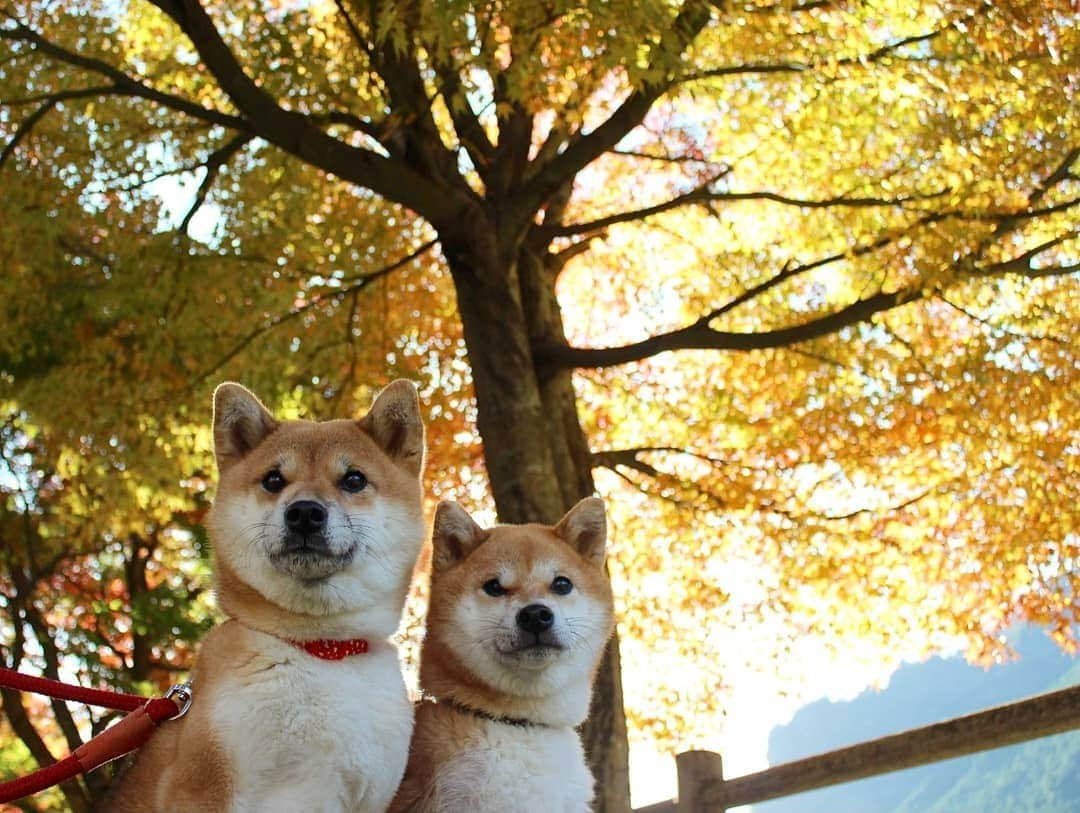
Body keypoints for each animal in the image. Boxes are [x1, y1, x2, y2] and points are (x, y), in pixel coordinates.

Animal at [107, 382, 427, 811]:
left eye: (354, 479)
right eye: (274, 480)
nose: (305, 512)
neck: (321, 648)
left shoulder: (371, 797)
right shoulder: (200, 788)